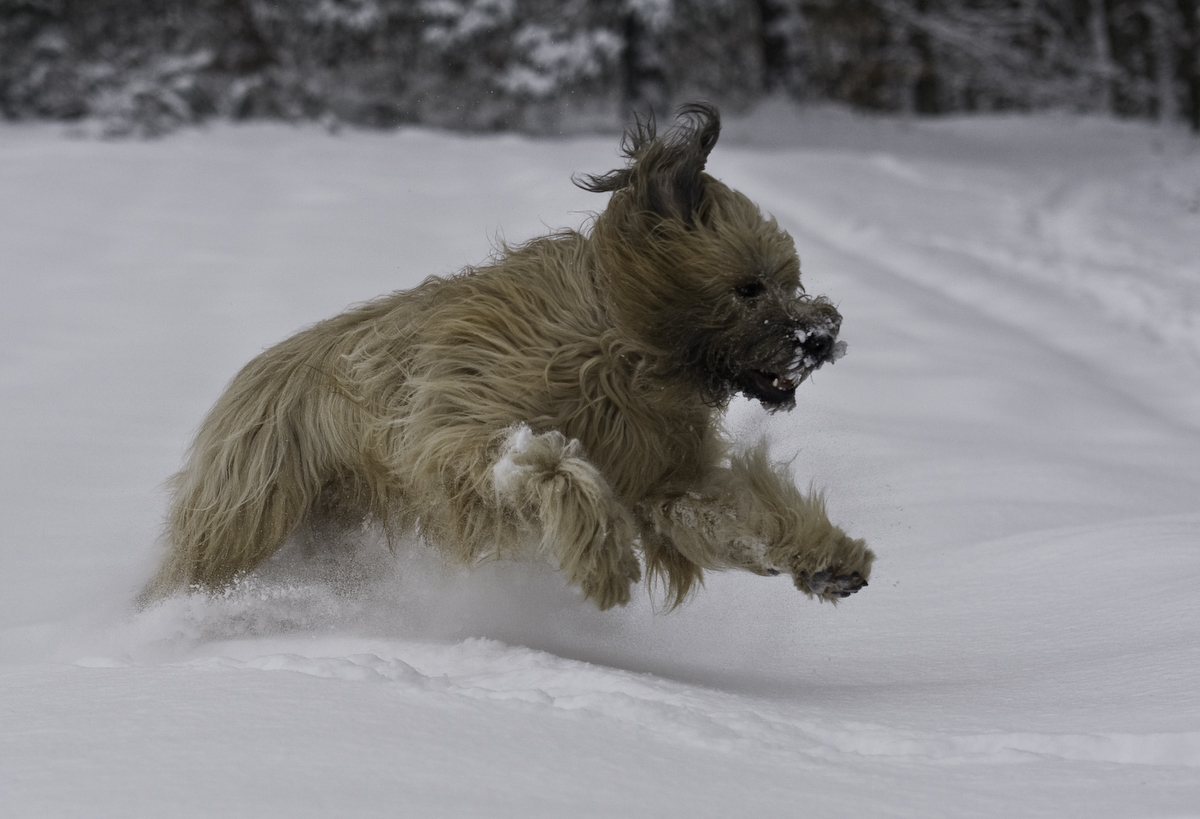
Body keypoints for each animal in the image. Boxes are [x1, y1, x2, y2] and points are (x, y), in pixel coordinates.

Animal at [145, 102, 873, 610]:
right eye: (748, 287)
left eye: (790, 278)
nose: (823, 337)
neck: (620, 346)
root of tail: (246, 381)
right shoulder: (457, 430)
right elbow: (546, 462)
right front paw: (602, 557)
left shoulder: (662, 473)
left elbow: (733, 508)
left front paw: (826, 556)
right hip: (251, 512)